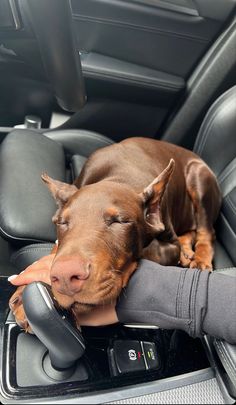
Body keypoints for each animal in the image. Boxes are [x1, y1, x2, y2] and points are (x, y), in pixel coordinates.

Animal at [9, 137, 221, 326]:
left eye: (120, 221)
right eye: (62, 222)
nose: (65, 278)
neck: (118, 177)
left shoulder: (169, 243)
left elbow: (145, 250)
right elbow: (56, 248)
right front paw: (22, 297)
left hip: (200, 177)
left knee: (206, 231)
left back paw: (200, 258)